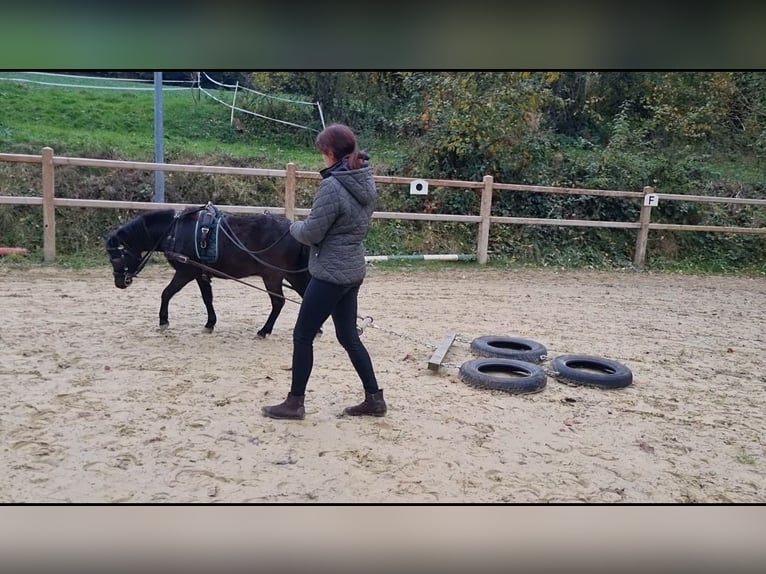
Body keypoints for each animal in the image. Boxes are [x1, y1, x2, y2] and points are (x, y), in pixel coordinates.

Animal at [106, 205, 312, 338]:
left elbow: (167, 293)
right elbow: (207, 298)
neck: (175, 231)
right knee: (304, 293)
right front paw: (210, 324)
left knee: (278, 302)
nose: (119, 283)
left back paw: (264, 331)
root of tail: (292, 228)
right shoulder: (201, 274)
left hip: (272, 276)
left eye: (116, 257)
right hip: (290, 273)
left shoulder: (186, 272)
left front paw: (163, 321)